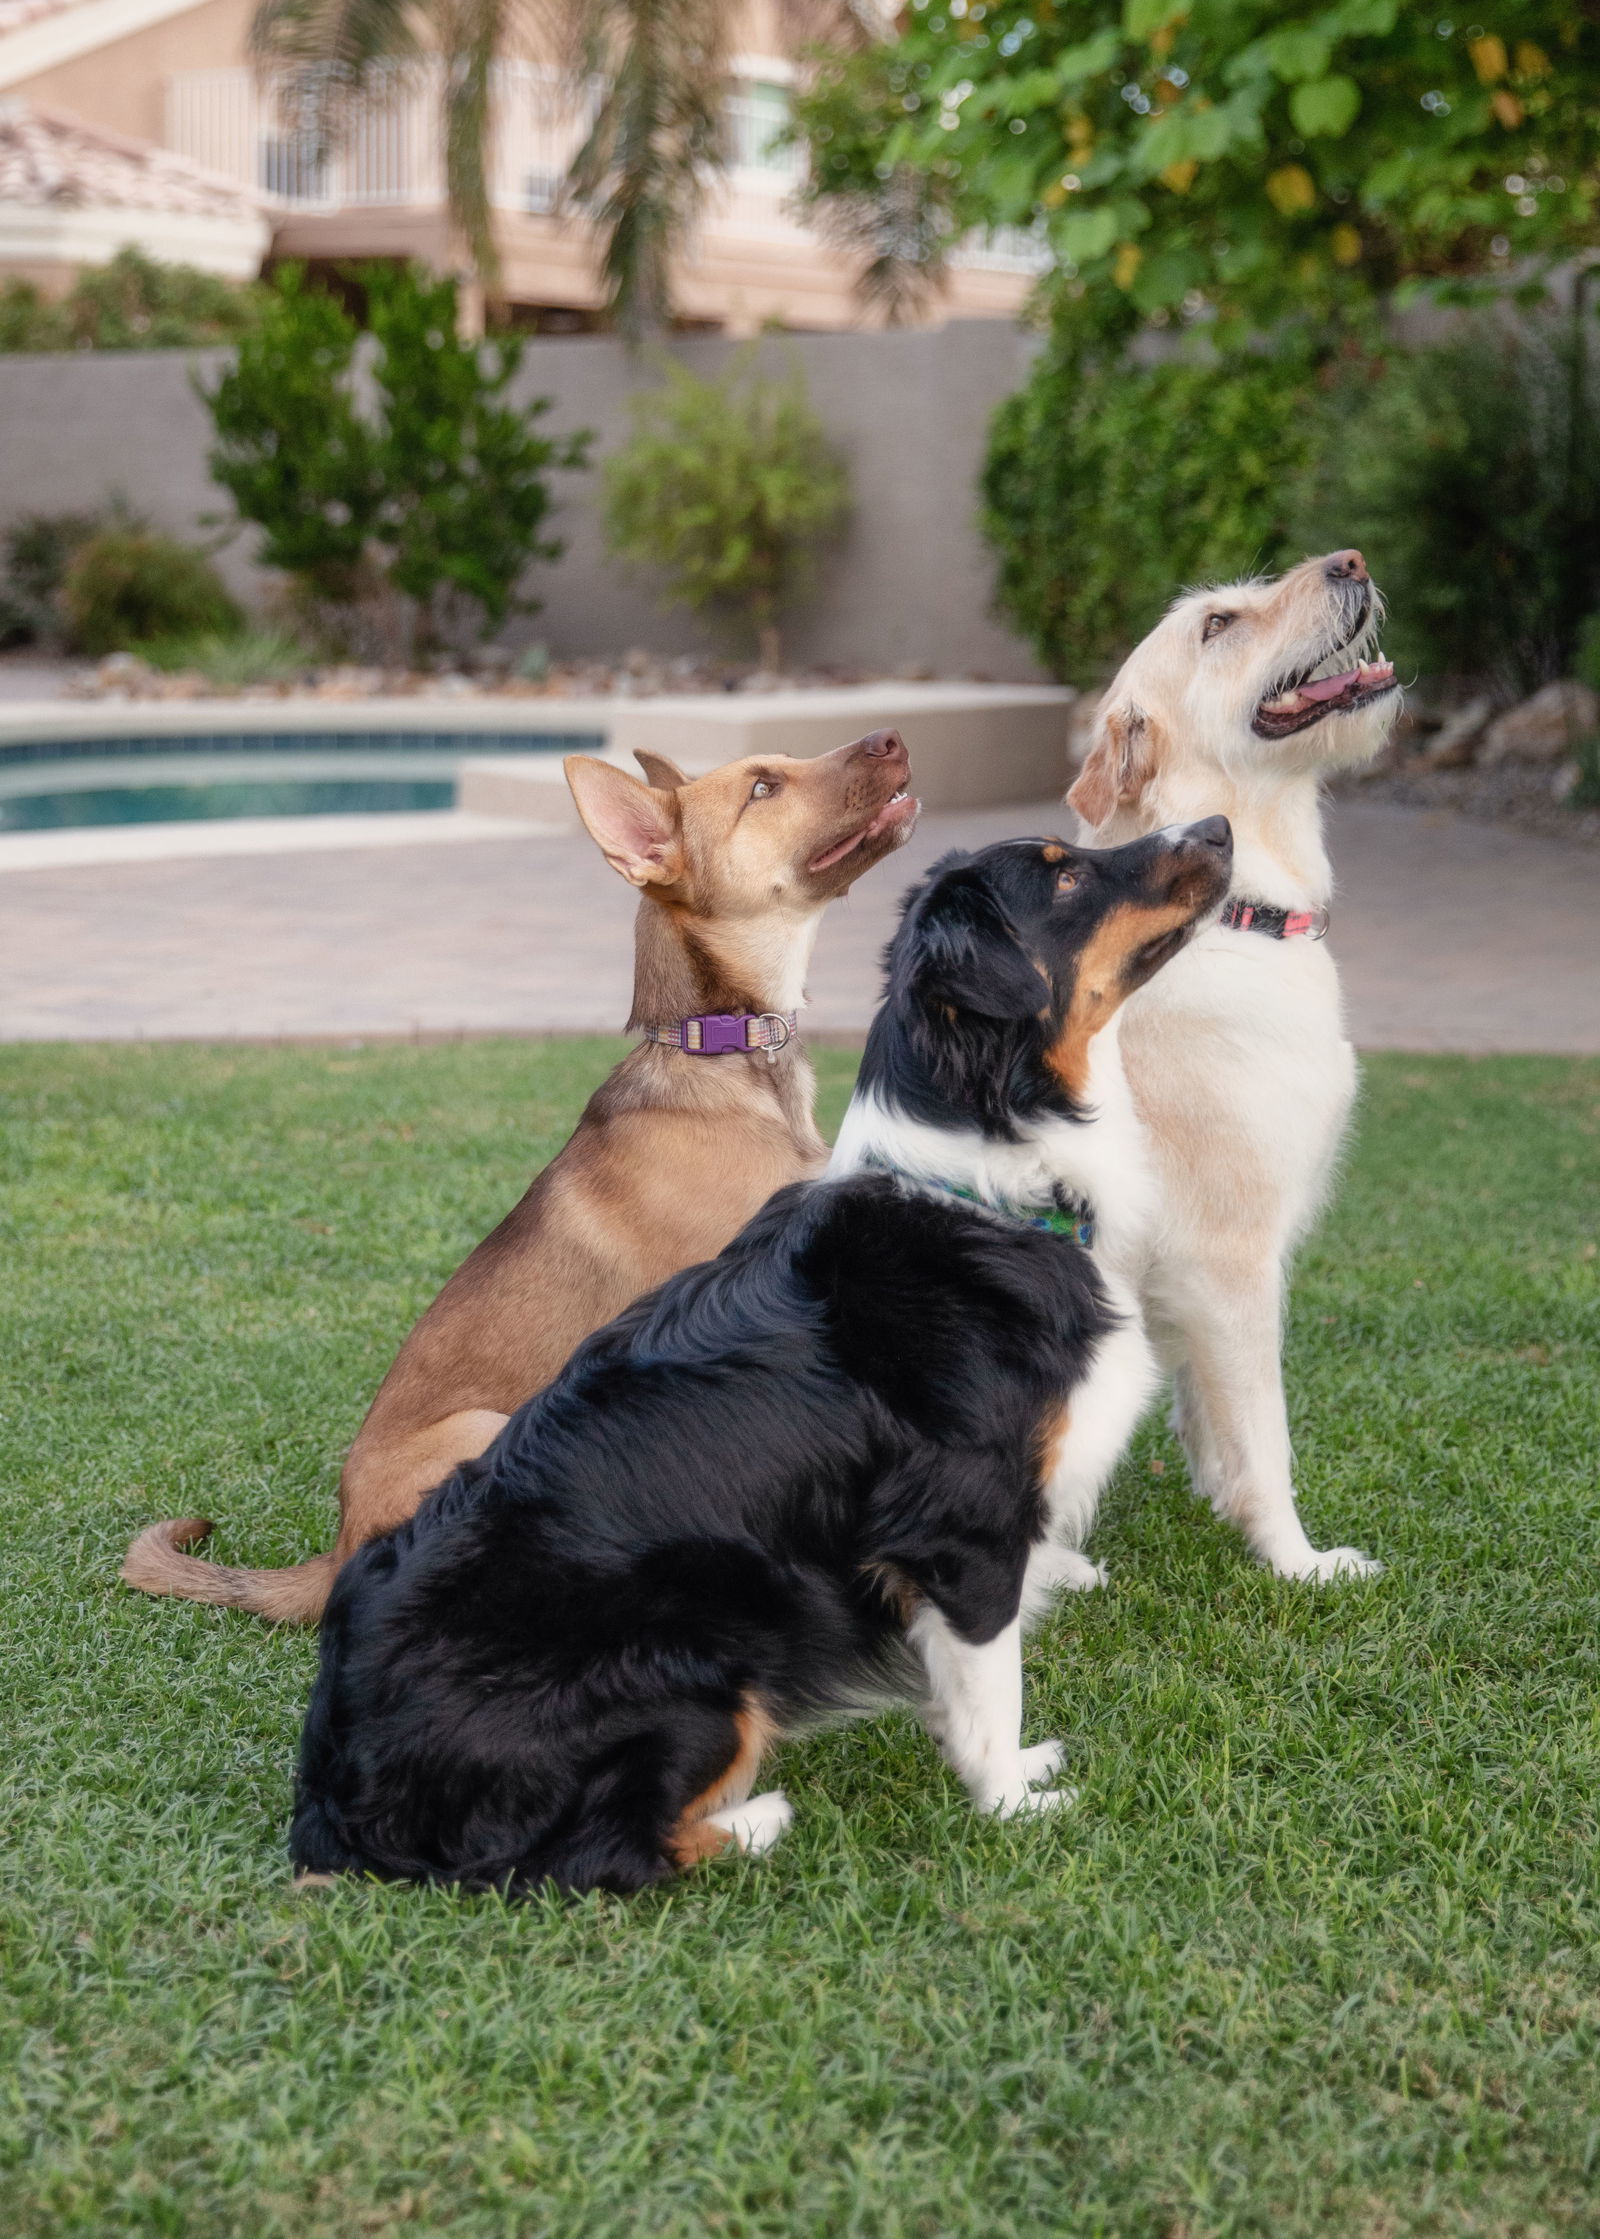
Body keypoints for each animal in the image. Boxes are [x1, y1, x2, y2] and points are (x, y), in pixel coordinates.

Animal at [293, 814, 1235, 1898]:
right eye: (1068, 875)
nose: (1218, 826)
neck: (984, 1183)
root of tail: (332, 1789)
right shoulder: (961, 1524)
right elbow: (992, 1682)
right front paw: (1011, 1801)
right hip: (703, 1664)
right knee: (609, 1849)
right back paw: (761, 1816)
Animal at [1069, 550, 1396, 1585]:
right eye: (1217, 624)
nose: (1352, 560)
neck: (1237, 910)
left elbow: (1213, 1425)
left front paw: (1220, 1506)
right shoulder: (1232, 1262)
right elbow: (1268, 1436)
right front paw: (1298, 1559)